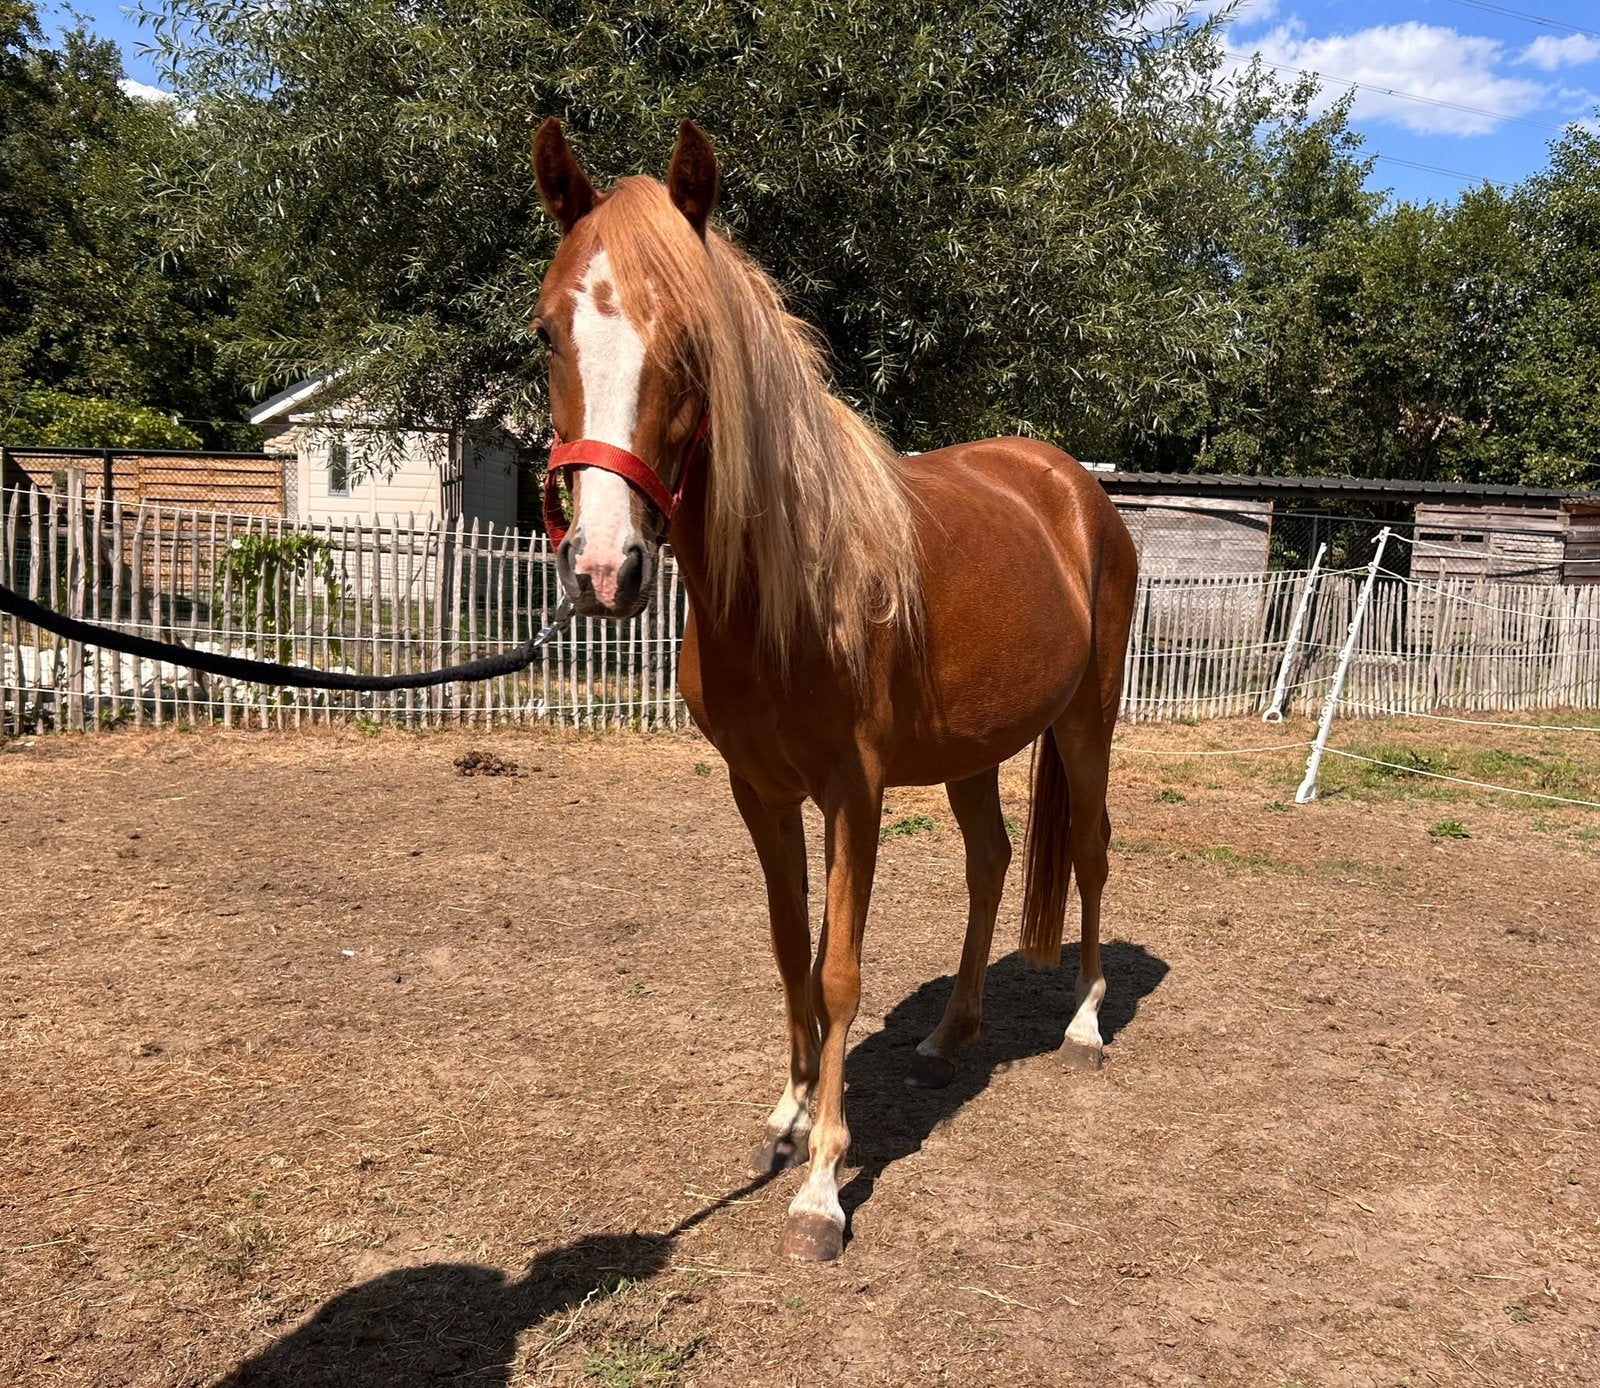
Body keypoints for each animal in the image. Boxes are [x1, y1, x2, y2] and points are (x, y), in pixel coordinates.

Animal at [531, 118, 1139, 1262]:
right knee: (992, 862)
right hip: (972, 753)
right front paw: (789, 1112)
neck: (785, 588)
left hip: (1087, 724)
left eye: (693, 342)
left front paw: (822, 1186)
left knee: (1086, 851)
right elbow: (789, 953)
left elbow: (841, 967)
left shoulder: (854, 793)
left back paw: (1083, 1023)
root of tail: (1073, 488)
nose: (602, 569)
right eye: (548, 331)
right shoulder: (759, 791)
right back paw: (949, 1037)